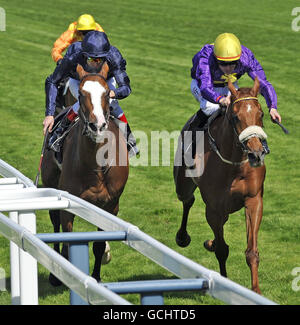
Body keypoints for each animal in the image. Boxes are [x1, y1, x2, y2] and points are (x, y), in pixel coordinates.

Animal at [40, 62, 128, 284]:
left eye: (106, 93)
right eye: (81, 93)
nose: (97, 126)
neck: (95, 166)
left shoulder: (110, 205)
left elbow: (98, 244)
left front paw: (96, 276)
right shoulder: (68, 204)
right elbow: (67, 241)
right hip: (50, 184)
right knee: (55, 223)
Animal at [173, 77, 268, 292]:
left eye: (261, 114)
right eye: (235, 117)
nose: (256, 154)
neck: (234, 164)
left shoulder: (254, 200)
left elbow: (251, 251)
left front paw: (256, 291)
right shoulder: (214, 208)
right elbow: (223, 250)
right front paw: (224, 284)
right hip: (182, 184)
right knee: (187, 200)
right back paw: (183, 237)